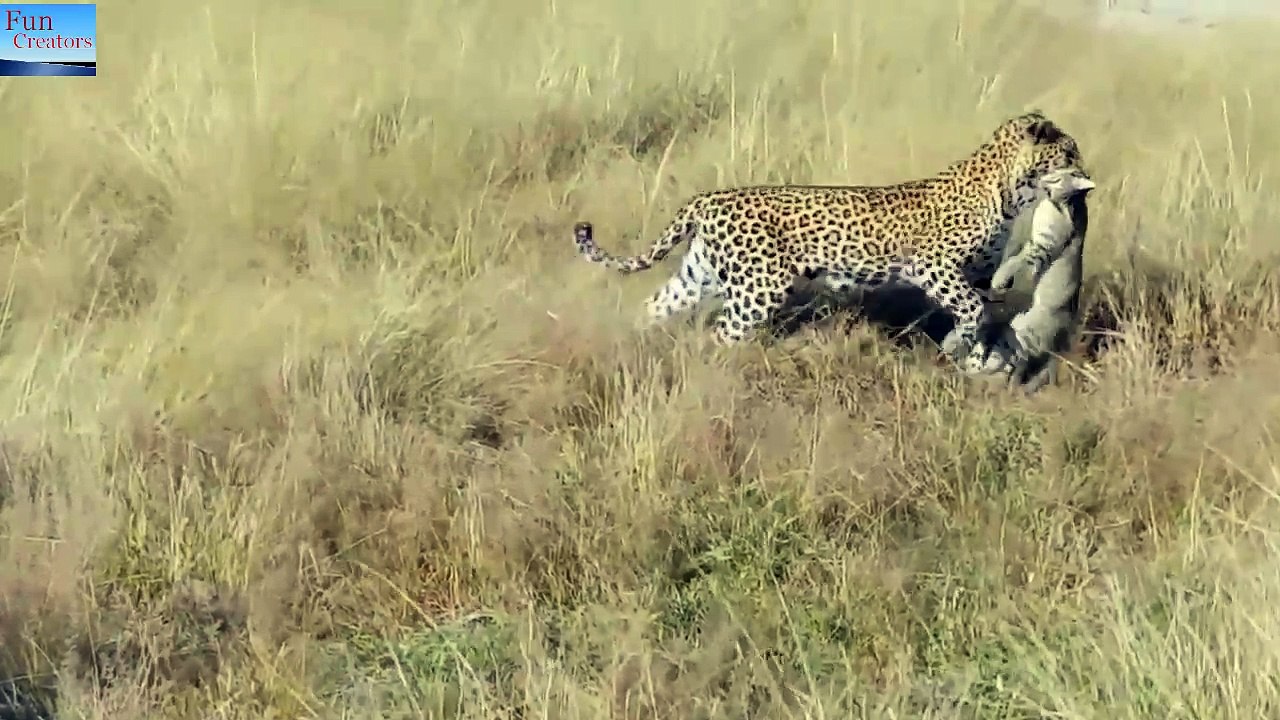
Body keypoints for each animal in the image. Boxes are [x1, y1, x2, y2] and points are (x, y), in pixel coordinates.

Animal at [571, 110, 1085, 359]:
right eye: (1069, 153)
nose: (1086, 171)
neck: (1010, 193)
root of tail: (709, 199)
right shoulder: (934, 266)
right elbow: (973, 310)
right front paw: (962, 343)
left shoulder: (977, 274)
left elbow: (984, 311)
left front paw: (978, 355)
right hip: (760, 288)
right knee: (721, 333)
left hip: (699, 276)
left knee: (652, 308)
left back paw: (635, 347)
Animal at [962, 165, 1096, 393]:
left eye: (1064, 175)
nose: (1046, 177)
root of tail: (1059, 344)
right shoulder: (1030, 241)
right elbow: (1013, 253)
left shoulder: (1041, 247)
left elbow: (1018, 260)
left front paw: (999, 280)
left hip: (1023, 334)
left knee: (1012, 368)